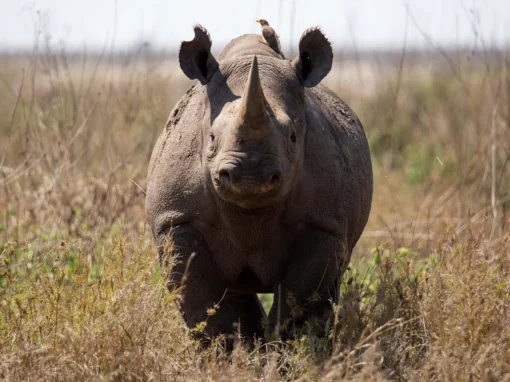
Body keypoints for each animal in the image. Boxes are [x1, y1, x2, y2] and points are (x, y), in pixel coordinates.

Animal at [145, 23, 372, 346]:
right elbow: (206, 302)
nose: (249, 177)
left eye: (293, 138)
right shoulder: (178, 218)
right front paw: (232, 352)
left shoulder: (324, 222)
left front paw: (291, 349)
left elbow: (301, 300)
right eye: (211, 139)